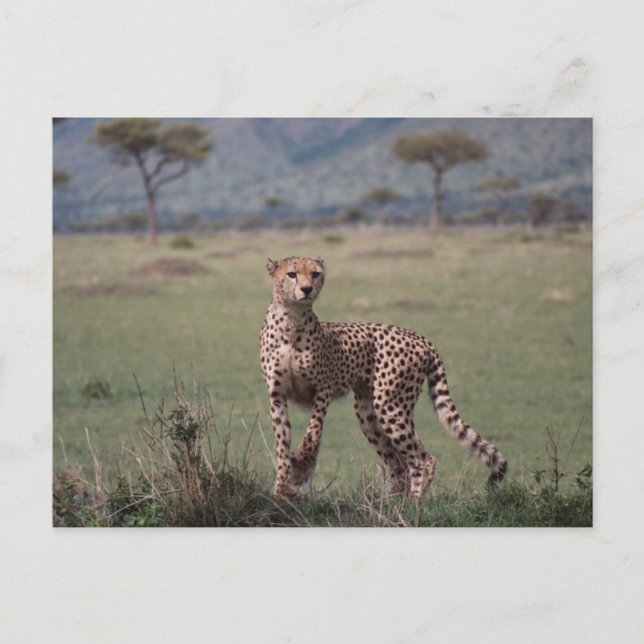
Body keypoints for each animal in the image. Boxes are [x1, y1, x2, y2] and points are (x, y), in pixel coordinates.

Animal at [260, 255, 507, 499]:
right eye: (292, 274)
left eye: (315, 273)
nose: (307, 289)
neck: (292, 319)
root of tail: (419, 336)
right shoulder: (277, 395)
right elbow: (282, 441)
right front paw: (283, 487)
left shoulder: (324, 389)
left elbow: (313, 431)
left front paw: (302, 465)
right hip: (368, 412)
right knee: (398, 463)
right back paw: (393, 502)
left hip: (389, 404)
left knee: (422, 459)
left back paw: (414, 503)